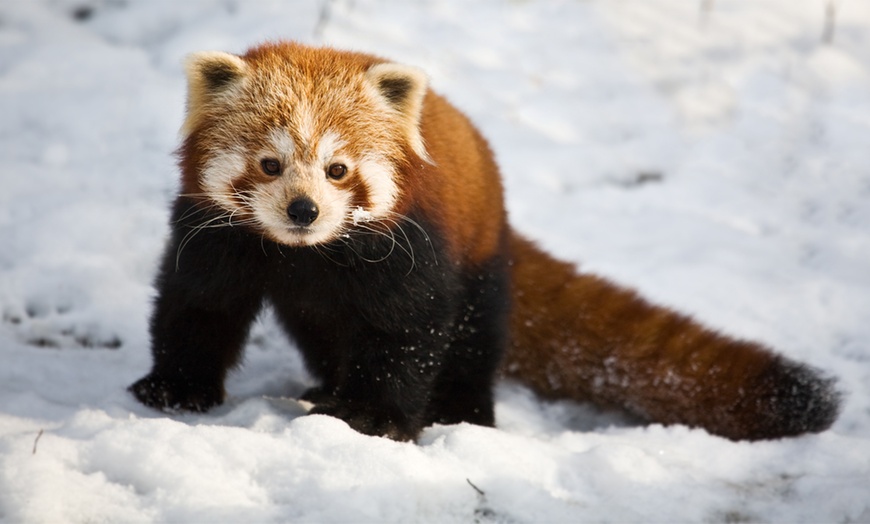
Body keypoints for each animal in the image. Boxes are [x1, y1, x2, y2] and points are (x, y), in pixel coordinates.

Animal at [126, 42, 840, 442]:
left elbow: (409, 329)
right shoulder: (214, 233)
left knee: (473, 336)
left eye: (338, 169)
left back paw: (459, 408)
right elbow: (198, 305)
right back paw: (326, 383)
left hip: (481, 254)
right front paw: (177, 388)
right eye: (270, 165)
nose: (304, 210)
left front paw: (375, 417)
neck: (306, 253)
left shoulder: (408, 244)